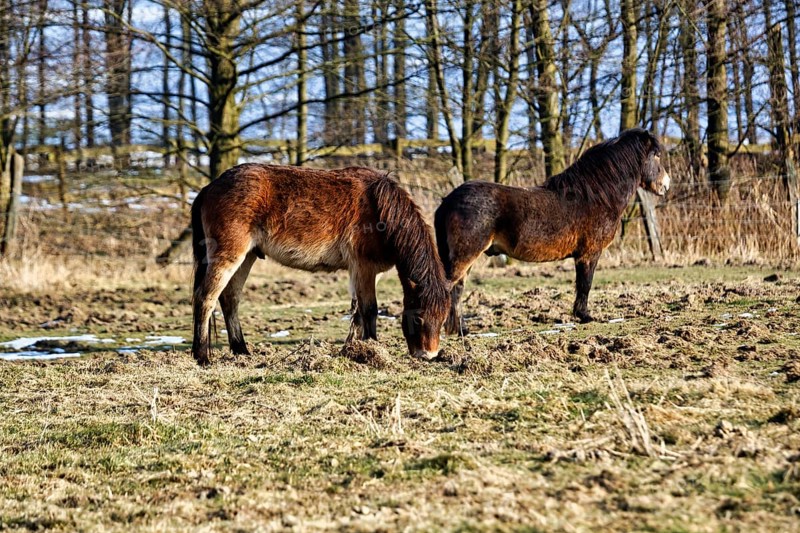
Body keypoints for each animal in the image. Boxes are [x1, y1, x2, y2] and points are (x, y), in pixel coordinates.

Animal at [190, 164, 451, 366]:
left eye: (443, 319)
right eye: (418, 318)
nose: (428, 356)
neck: (379, 208)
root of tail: (210, 186)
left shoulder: (366, 273)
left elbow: (358, 312)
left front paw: (352, 350)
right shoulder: (363, 267)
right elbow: (369, 310)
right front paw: (374, 349)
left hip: (247, 257)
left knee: (230, 300)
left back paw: (241, 351)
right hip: (229, 256)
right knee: (206, 298)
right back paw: (202, 356)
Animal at [434, 128, 671, 335]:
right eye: (656, 155)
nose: (666, 185)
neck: (594, 196)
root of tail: (448, 201)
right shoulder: (589, 254)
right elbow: (585, 284)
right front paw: (585, 316)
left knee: (457, 289)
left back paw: (461, 329)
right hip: (465, 256)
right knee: (449, 289)